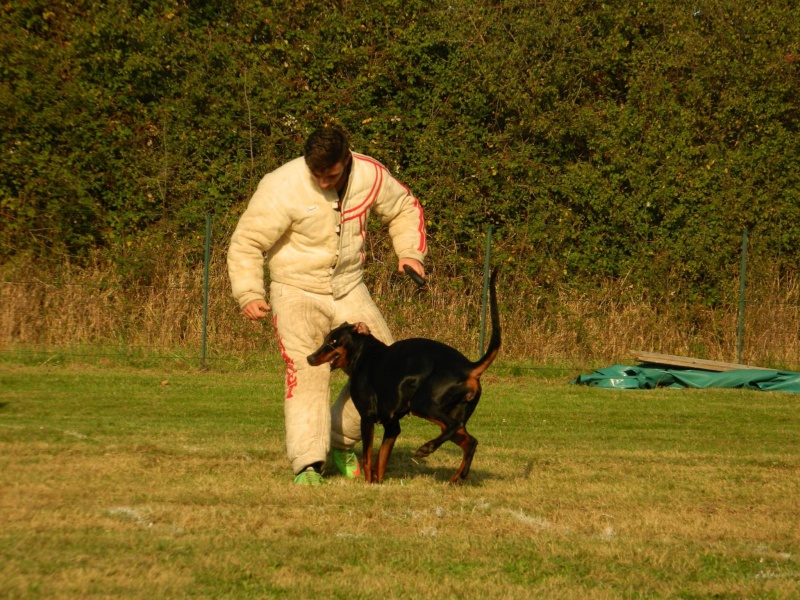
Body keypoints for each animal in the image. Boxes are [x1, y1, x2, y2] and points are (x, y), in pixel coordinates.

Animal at [308, 270, 500, 486]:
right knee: (470, 441)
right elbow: (380, 463)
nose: (310, 358)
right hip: (449, 411)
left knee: (454, 427)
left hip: (423, 404)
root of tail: (469, 367)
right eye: (325, 339)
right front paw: (377, 485)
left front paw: (367, 484)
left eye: (333, 341)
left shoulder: (367, 417)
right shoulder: (392, 426)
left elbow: (368, 458)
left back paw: (427, 448)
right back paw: (457, 477)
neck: (365, 353)